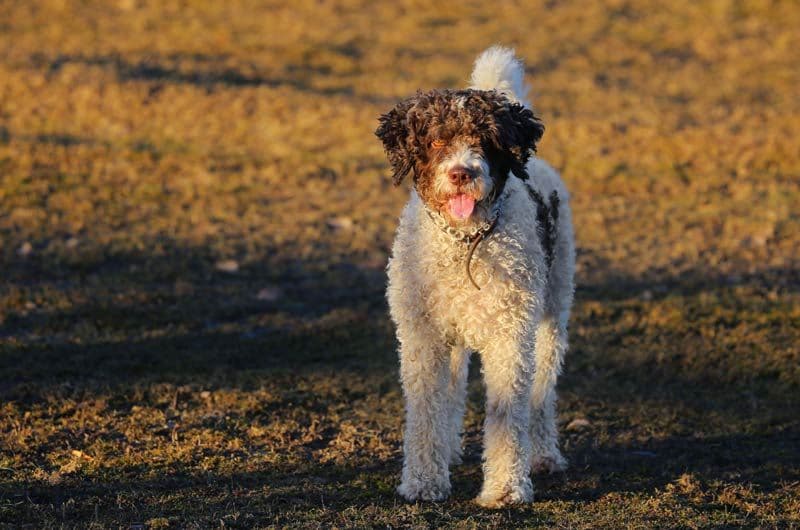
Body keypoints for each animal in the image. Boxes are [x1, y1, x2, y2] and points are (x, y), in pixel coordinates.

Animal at [376, 47, 576, 506]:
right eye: (435, 141)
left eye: (484, 142)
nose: (461, 173)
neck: (463, 242)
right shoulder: (423, 336)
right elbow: (428, 409)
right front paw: (424, 481)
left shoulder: (509, 335)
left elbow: (507, 411)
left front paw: (505, 489)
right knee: (452, 395)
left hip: (552, 311)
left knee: (541, 393)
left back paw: (543, 454)